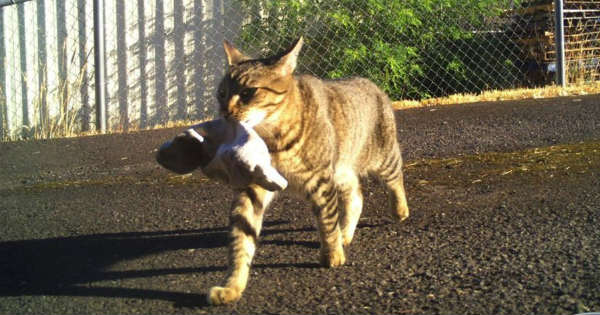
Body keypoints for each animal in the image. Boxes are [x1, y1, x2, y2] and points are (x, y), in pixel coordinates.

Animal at [206, 37, 408, 306]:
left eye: (248, 93)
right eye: (221, 94)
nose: (224, 113)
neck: (272, 141)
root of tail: (370, 82)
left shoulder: (321, 181)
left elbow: (326, 220)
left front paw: (332, 254)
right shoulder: (251, 187)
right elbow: (241, 239)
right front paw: (232, 285)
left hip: (381, 157)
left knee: (396, 178)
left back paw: (399, 210)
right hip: (342, 171)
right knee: (356, 197)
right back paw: (346, 233)